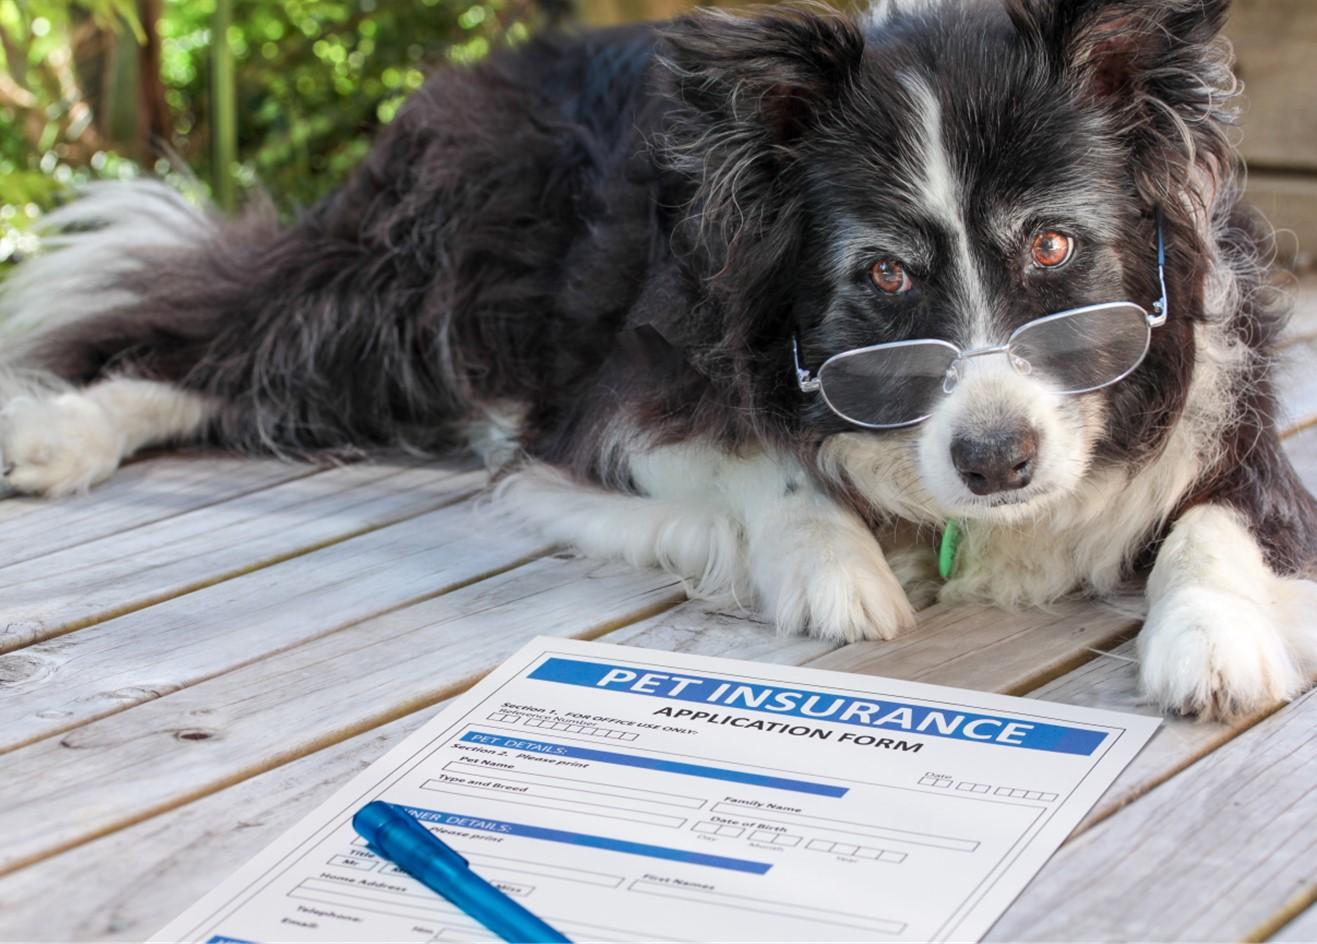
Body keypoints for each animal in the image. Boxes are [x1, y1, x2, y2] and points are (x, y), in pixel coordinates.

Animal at [2, 0, 1317, 716]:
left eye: (1053, 244)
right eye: (887, 278)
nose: (996, 461)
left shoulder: (1233, 421)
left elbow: (1219, 523)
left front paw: (1212, 639)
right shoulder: (615, 396)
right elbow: (759, 464)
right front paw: (832, 565)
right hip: (417, 281)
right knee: (217, 336)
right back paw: (59, 432)